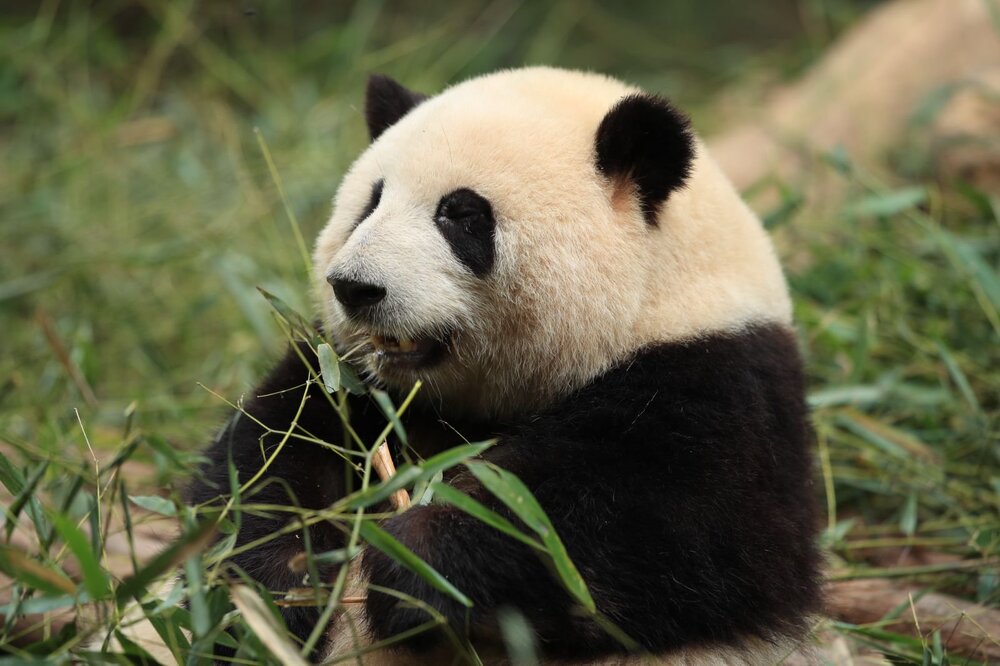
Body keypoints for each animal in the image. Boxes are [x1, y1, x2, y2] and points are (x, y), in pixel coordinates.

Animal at [189, 67, 821, 665]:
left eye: (461, 214)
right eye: (370, 201)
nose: (354, 287)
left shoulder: (720, 382)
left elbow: (650, 532)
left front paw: (418, 564)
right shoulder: (347, 378)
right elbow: (267, 456)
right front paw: (280, 585)